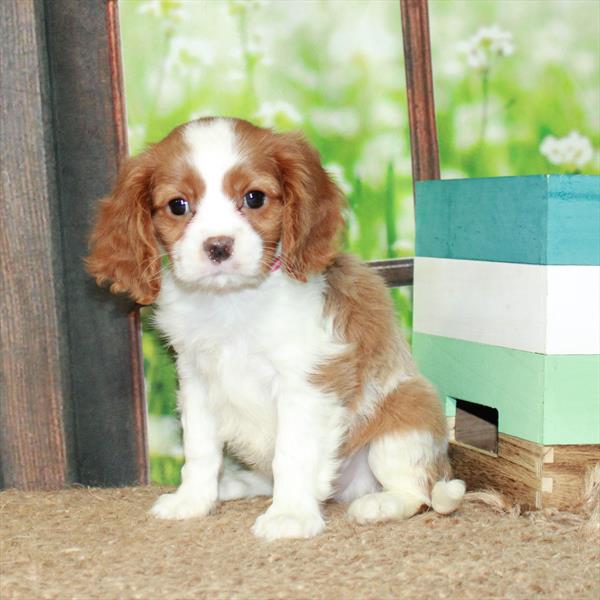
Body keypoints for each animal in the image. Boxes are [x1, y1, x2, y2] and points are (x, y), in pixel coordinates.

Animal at [86, 116, 466, 540]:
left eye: (254, 198)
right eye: (177, 205)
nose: (218, 246)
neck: (232, 302)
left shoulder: (307, 383)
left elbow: (292, 453)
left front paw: (290, 515)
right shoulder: (197, 382)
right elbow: (199, 450)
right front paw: (193, 501)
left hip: (403, 422)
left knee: (420, 491)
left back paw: (380, 504)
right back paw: (235, 483)